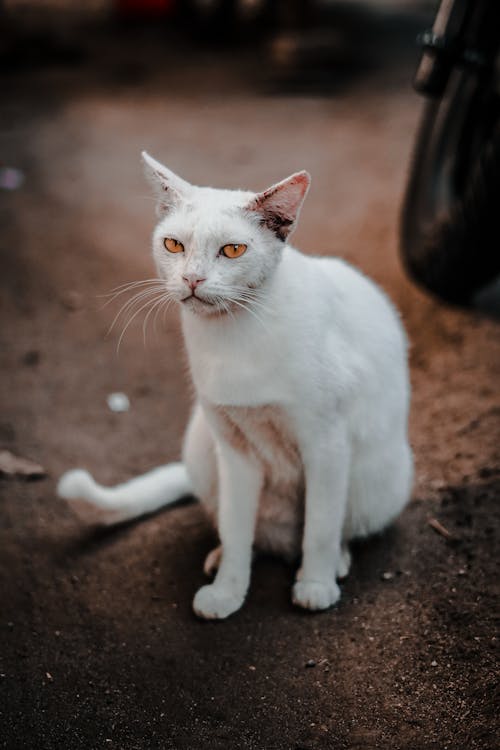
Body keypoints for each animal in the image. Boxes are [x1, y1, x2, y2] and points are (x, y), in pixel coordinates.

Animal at [56, 153, 412, 624]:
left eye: (233, 250)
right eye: (174, 245)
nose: (192, 278)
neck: (232, 339)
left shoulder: (326, 444)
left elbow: (320, 526)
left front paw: (315, 586)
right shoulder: (235, 449)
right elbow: (237, 527)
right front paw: (227, 591)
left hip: (377, 478)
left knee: (336, 527)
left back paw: (330, 564)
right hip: (203, 447)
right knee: (243, 528)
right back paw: (222, 557)